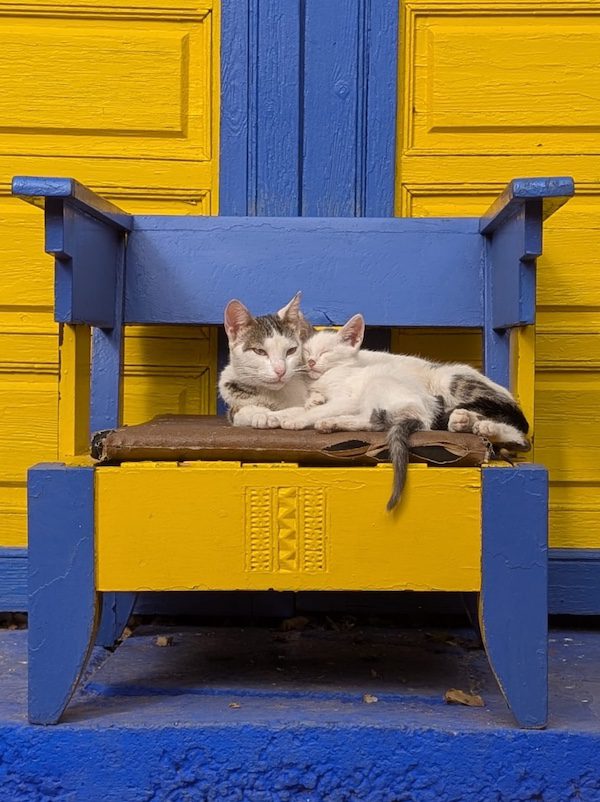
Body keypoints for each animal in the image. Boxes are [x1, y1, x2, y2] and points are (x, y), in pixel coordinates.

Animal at [264, 312, 528, 506]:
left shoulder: (346, 396)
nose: (310, 362)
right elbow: (305, 405)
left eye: (326, 353)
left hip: (439, 382)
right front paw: (280, 414)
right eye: (306, 352)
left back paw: (475, 423)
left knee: (519, 433)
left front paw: (297, 419)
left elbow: (317, 409)